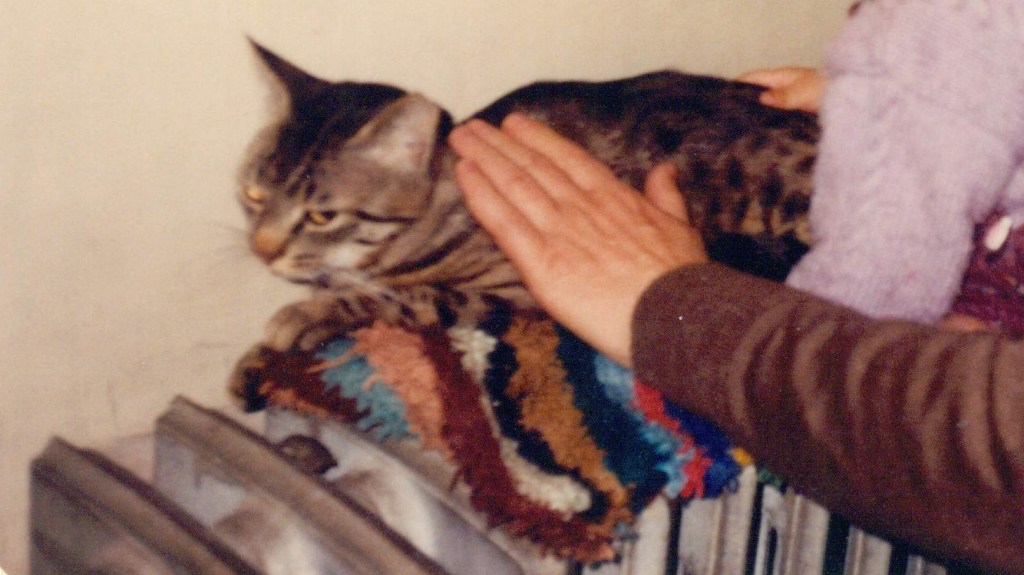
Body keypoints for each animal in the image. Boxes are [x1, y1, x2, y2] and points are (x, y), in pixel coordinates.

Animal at [231, 42, 818, 406]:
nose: (261, 249)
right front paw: (256, 363)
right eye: (253, 195)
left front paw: (305, 315)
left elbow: (409, 297)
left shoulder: (514, 288)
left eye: (321, 214)